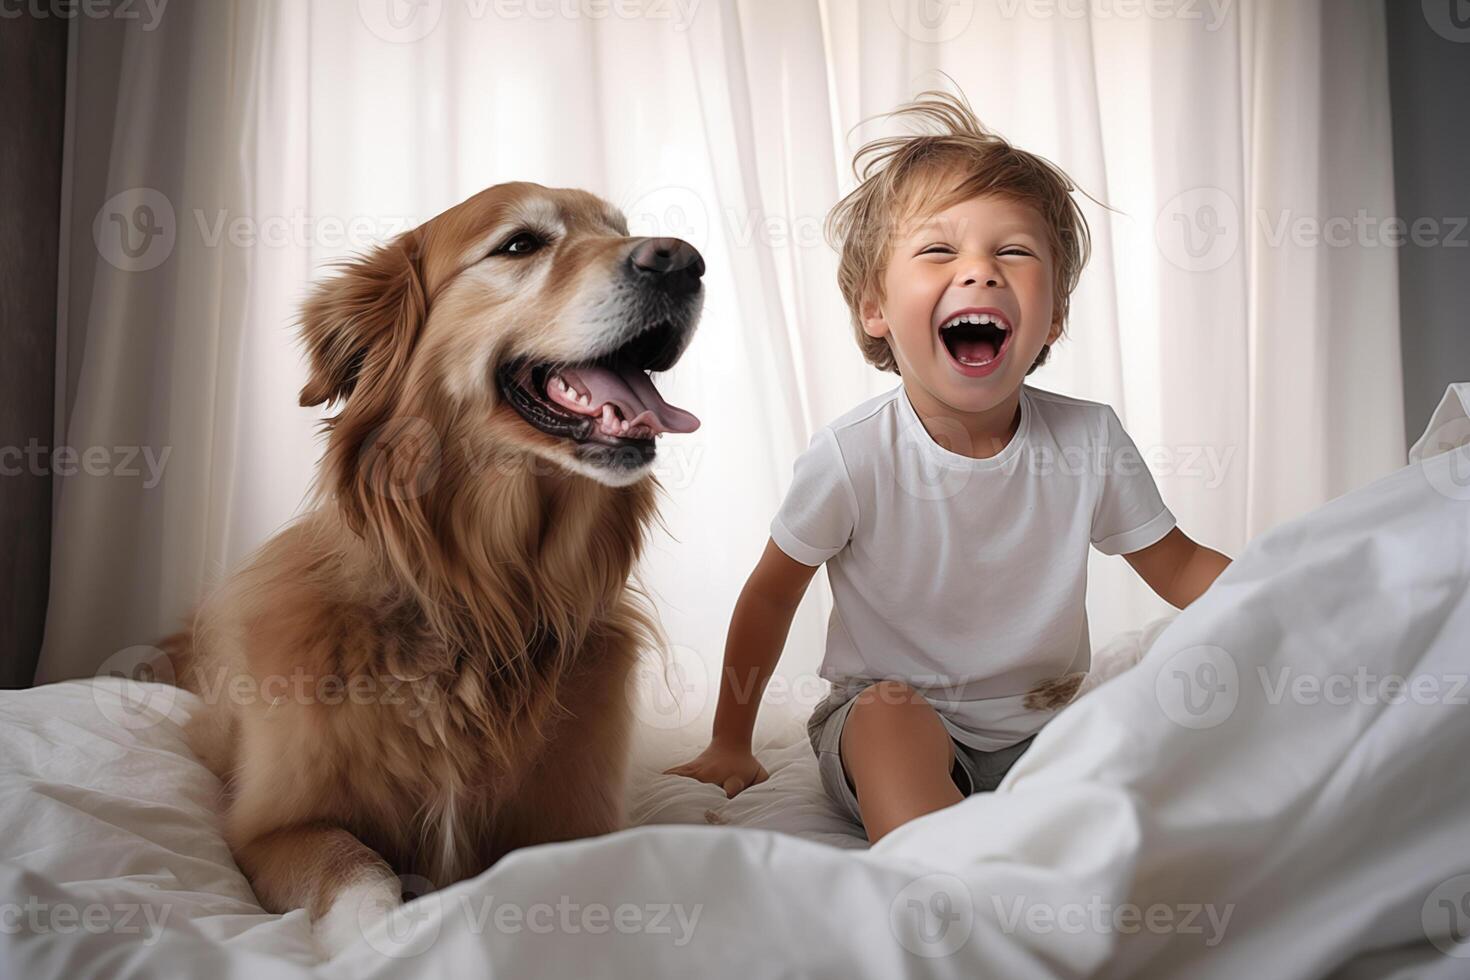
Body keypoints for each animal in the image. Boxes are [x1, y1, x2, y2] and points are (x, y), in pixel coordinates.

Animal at [160, 179, 705, 952]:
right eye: (520, 244)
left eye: (619, 228)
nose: (683, 261)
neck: (477, 607)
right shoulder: (271, 829)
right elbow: (357, 868)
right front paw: (390, 940)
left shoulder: (580, 825)